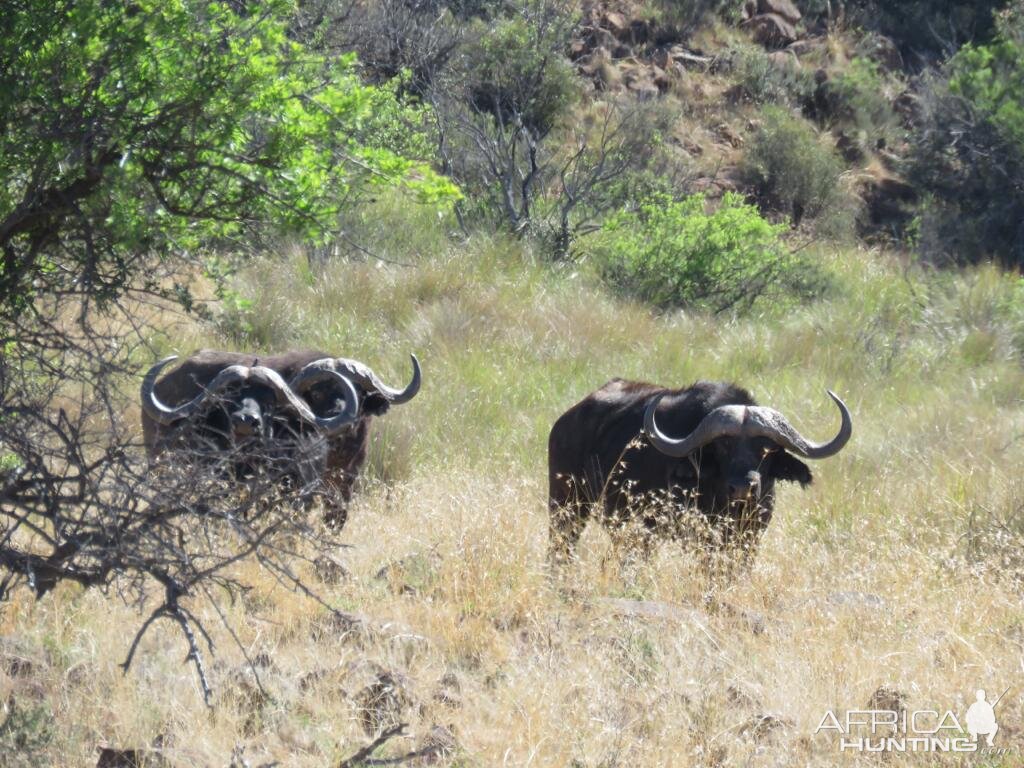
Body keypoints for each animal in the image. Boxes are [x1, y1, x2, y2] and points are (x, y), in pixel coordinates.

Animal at [548, 382, 851, 569]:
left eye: (766, 448)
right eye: (724, 445)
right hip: (567, 505)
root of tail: (566, 420)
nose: (743, 487)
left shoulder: (749, 540)